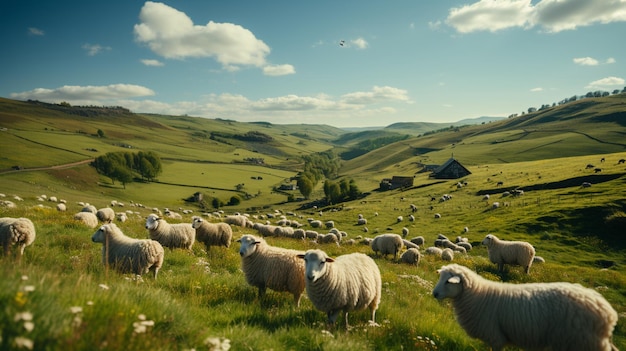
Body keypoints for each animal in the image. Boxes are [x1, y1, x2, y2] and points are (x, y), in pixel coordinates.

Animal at [432, 264, 616, 351]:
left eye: (449, 281)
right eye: (440, 277)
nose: (434, 294)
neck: (478, 296)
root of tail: (607, 313)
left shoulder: (495, 337)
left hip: (580, 341)